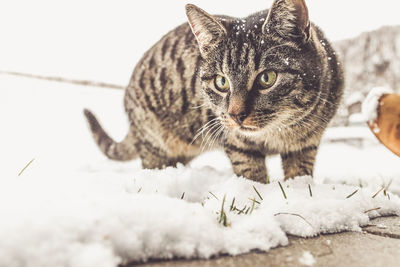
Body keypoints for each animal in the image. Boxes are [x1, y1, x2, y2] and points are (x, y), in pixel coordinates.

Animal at [83, 0, 344, 184]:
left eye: (267, 78)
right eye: (221, 82)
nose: (236, 115)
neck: (280, 133)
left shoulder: (306, 145)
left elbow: (300, 175)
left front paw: (298, 194)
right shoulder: (236, 142)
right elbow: (251, 175)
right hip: (154, 142)